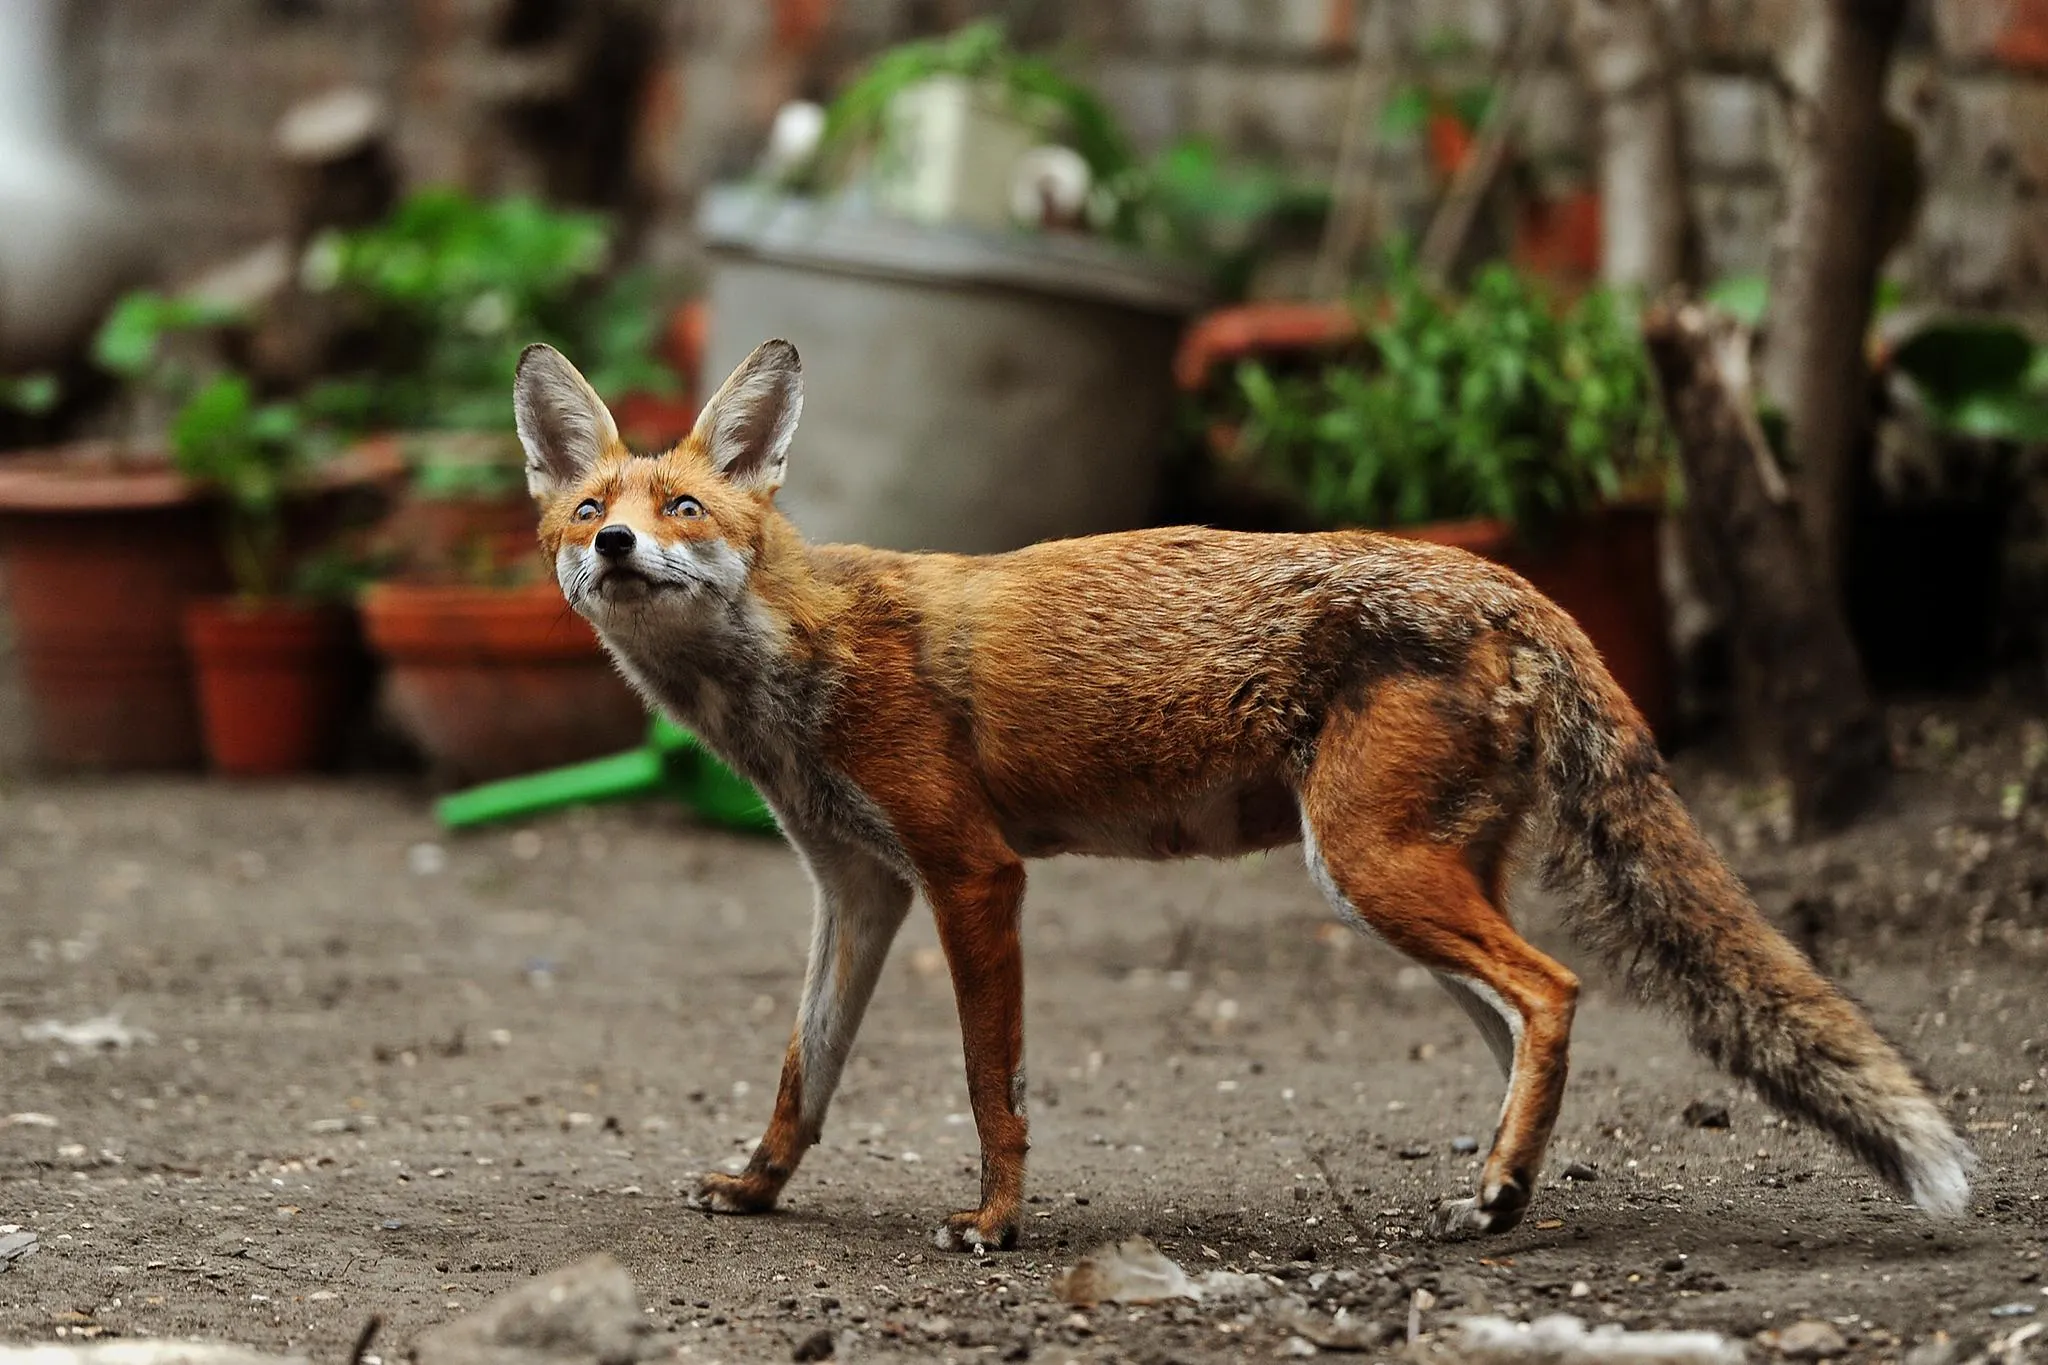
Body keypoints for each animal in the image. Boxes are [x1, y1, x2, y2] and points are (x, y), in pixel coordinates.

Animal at [512, 339, 1966, 1252]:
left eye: (685, 508)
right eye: (587, 510)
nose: (617, 544)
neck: (795, 662)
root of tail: (1504, 579)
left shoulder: (974, 873)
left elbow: (992, 1083)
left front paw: (995, 1224)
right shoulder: (859, 887)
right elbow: (803, 1069)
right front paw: (759, 1189)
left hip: (1368, 869)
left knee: (1554, 992)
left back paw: (1497, 1190)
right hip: (1404, 887)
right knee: (1527, 1024)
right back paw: (1500, 1197)